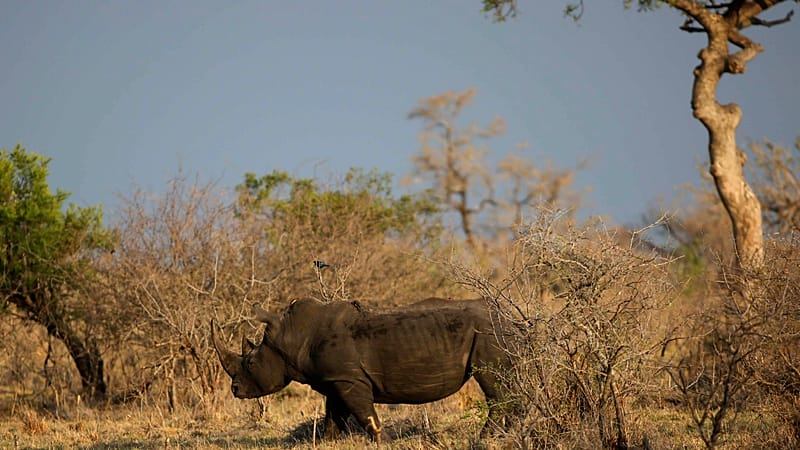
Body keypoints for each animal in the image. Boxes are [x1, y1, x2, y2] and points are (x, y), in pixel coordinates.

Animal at [211, 297, 513, 443]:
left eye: (250, 363)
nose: (235, 390)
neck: (291, 337)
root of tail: (507, 313)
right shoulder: (335, 379)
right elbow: (333, 414)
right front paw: (326, 443)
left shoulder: (349, 379)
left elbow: (365, 413)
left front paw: (382, 441)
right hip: (493, 332)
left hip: (488, 332)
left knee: (493, 385)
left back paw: (485, 438)